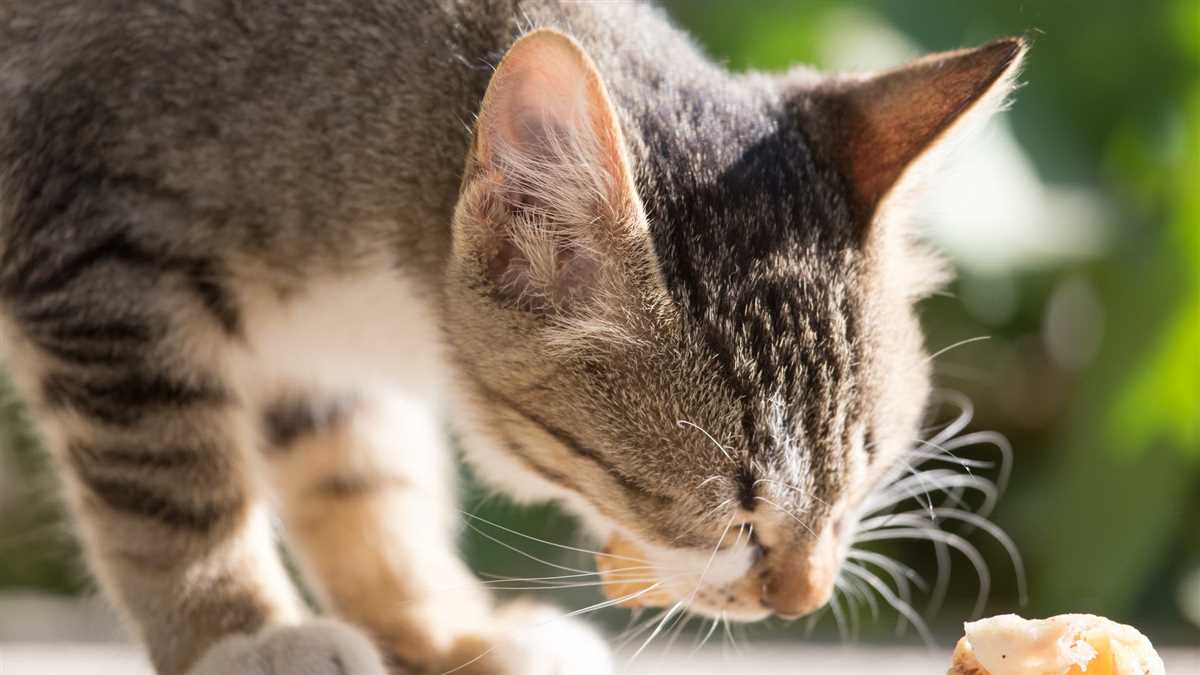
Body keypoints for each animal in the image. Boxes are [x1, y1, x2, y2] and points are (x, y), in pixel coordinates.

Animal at [0, 1, 1027, 672]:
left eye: (862, 477)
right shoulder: (95, 249)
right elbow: (172, 486)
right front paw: (240, 632)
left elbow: (360, 472)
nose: (803, 597)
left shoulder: (319, 350)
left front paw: (446, 627)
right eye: (730, 515)